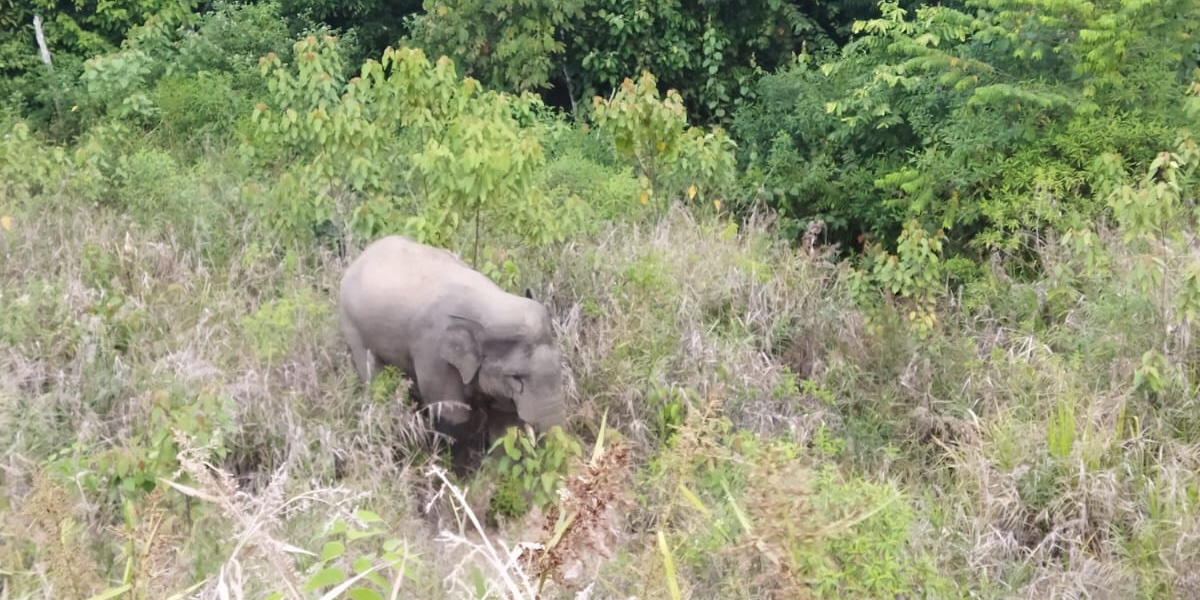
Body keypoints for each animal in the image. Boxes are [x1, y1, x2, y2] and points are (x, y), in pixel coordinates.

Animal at [333, 234, 566, 463]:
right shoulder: (433, 355)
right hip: (351, 325)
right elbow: (452, 416)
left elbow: (503, 418)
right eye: (516, 377)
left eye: (560, 367)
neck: (488, 306)